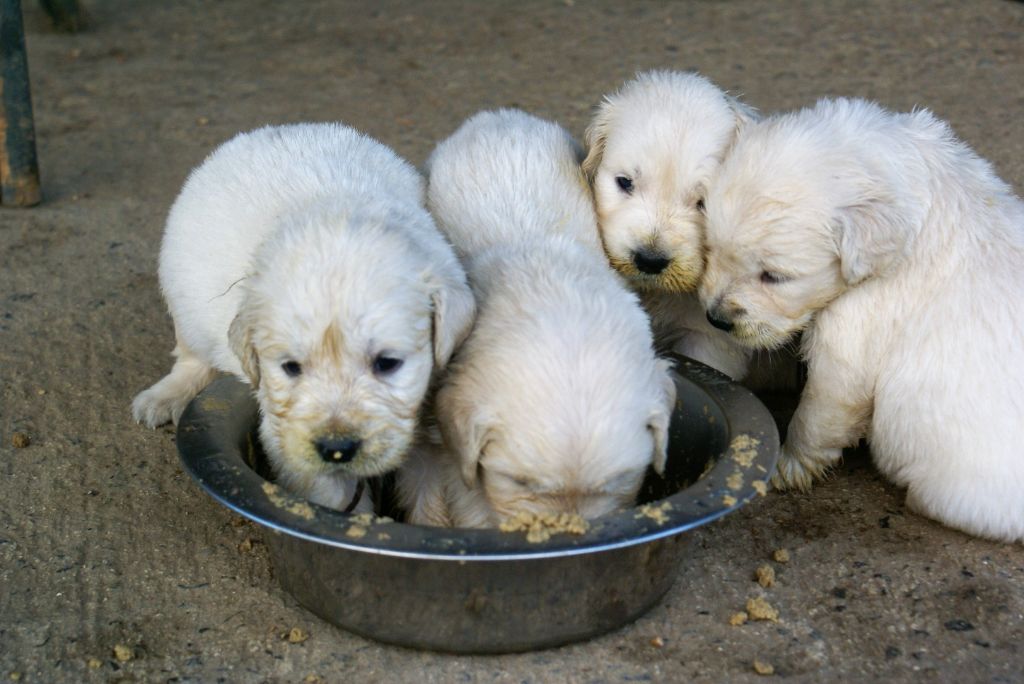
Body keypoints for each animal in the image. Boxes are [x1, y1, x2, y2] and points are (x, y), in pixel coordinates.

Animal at [131, 122, 475, 509]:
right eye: (291, 368)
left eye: (387, 363)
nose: (337, 448)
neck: (337, 217)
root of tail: (279, 129)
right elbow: (331, 494)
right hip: (181, 292)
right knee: (190, 356)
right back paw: (163, 397)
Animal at [700, 98, 1024, 540]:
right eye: (711, 247)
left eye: (774, 276)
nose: (716, 318)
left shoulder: (854, 331)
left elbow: (820, 410)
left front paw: (788, 466)